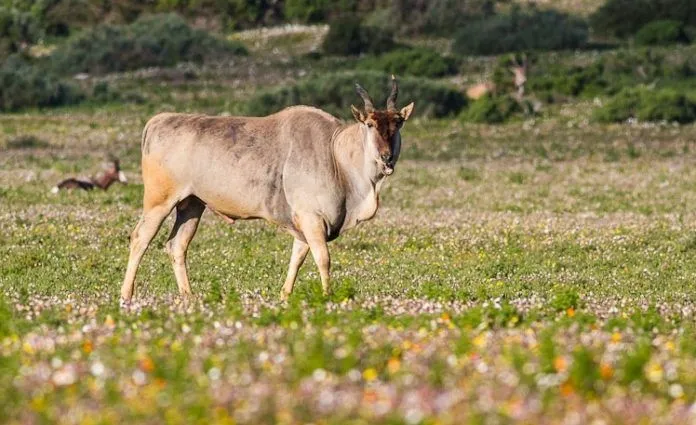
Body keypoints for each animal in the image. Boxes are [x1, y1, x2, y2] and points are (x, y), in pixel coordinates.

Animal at [119, 76, 414, 302]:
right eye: (370, 124)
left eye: (397, 124)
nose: (387, 158)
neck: (335, 152)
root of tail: (156, 122)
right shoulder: (312, 219)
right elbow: (323, 258)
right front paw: (327, 296)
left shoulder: (304, 226)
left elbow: (297, 258)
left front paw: (285, 296)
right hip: (159, 202)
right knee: (140, 238)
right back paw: (126, 295)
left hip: (192, 204)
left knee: (176, 245)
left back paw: (189, 297)